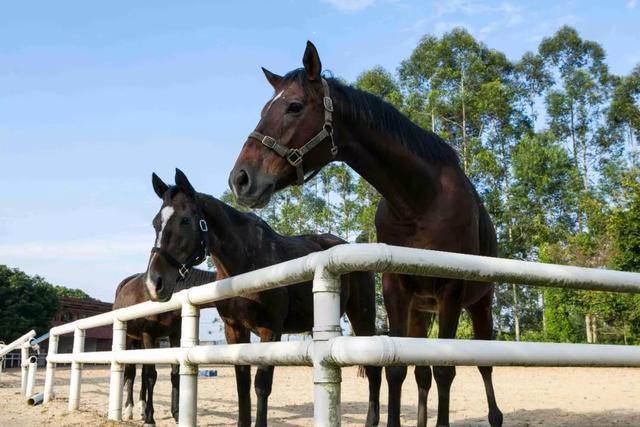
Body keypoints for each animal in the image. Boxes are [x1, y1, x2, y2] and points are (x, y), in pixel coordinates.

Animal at [113, 268, 218, 424]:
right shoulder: (148, 335)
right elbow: (151, 376)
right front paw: (150, 418)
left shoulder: (174, 334)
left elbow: (174, 374)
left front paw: (176, 414)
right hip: (129, 339)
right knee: (131, 373)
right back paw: (129, 410)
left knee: (142, 372)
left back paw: (142, 408)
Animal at [145, 170, 382, 427]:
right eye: (155, 223)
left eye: (185, 220)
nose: (154, 283)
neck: (245, 265)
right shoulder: (234, 330)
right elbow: (242, 384)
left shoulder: (270, 330)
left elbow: (261, 384)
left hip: (362, 316)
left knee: (374, 370)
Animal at [228, 41, 502, 427]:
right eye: (265, 109)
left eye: (294, 106)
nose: (240, 179)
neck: (420, 200)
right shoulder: (396, 290)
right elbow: (398, 370)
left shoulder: (450, 290)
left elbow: (446, 371)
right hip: (421, 311)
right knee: (422, 373)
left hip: (480, 305)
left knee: (484, 366)